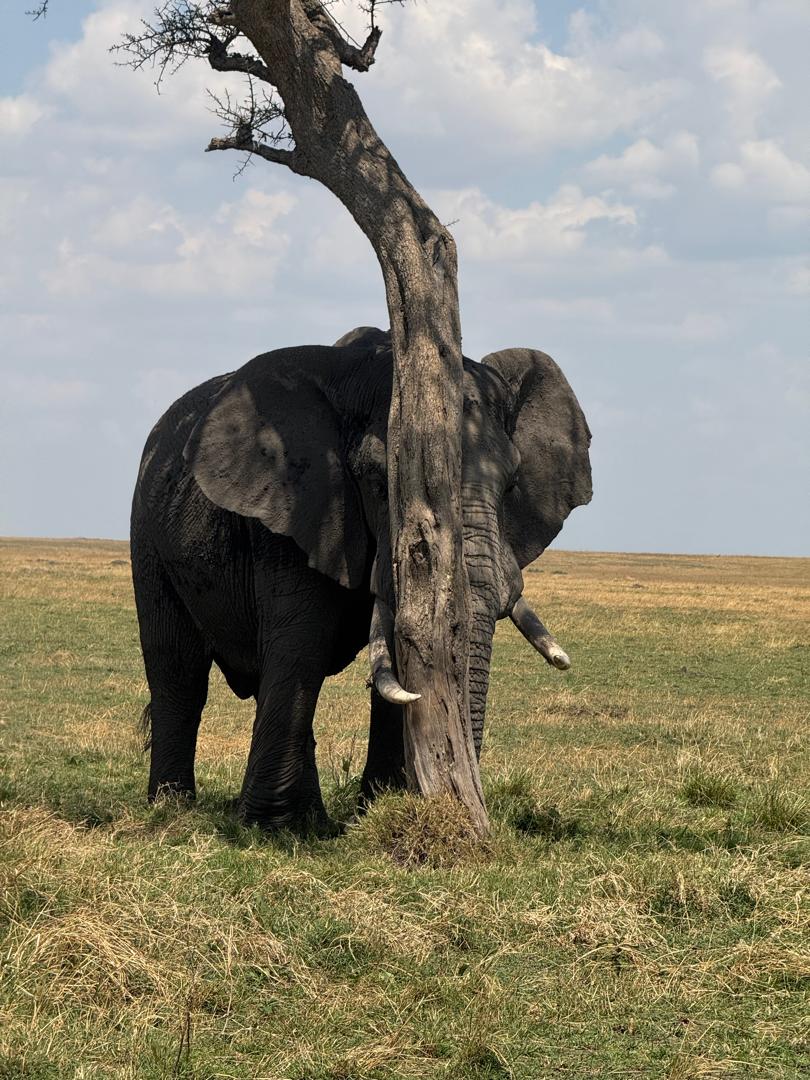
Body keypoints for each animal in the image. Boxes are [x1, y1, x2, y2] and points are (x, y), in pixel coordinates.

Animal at [130, 326, 592, 830]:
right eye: (381, 485)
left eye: (511, 486)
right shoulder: (294, 513)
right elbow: (302, 648)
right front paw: (271, 829)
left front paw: (380, 808)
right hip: (147, 536)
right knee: (179, 672)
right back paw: (173, 808)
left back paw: (312, 820)